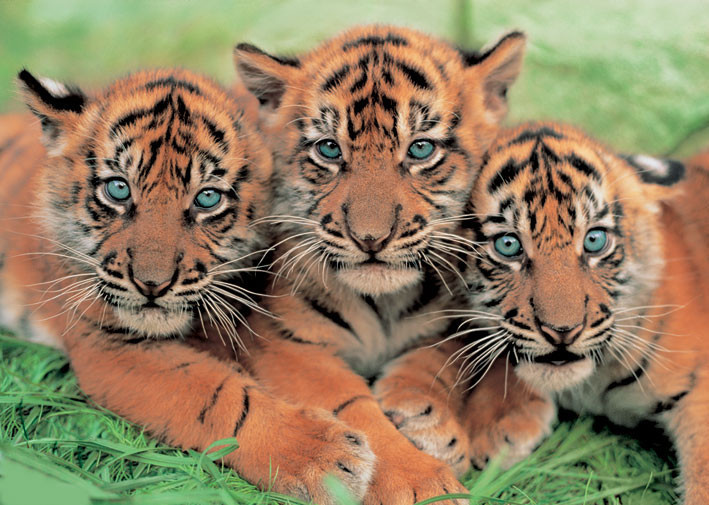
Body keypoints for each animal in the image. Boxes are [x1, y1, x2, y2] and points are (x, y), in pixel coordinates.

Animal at [0, 68, 382, 502]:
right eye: (118, 189)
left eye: (207, 199)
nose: (151, 284)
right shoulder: (108, 344)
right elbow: (219, 396)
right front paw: (325, 459)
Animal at [231, 24, 526, 504]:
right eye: (329, 150)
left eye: (421, 149)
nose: (370, 238)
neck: (382, 304)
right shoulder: (285, 342)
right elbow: (354, 408)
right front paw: (422, 483)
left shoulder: (446, 324)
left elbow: (431, 362)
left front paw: (428, 418)